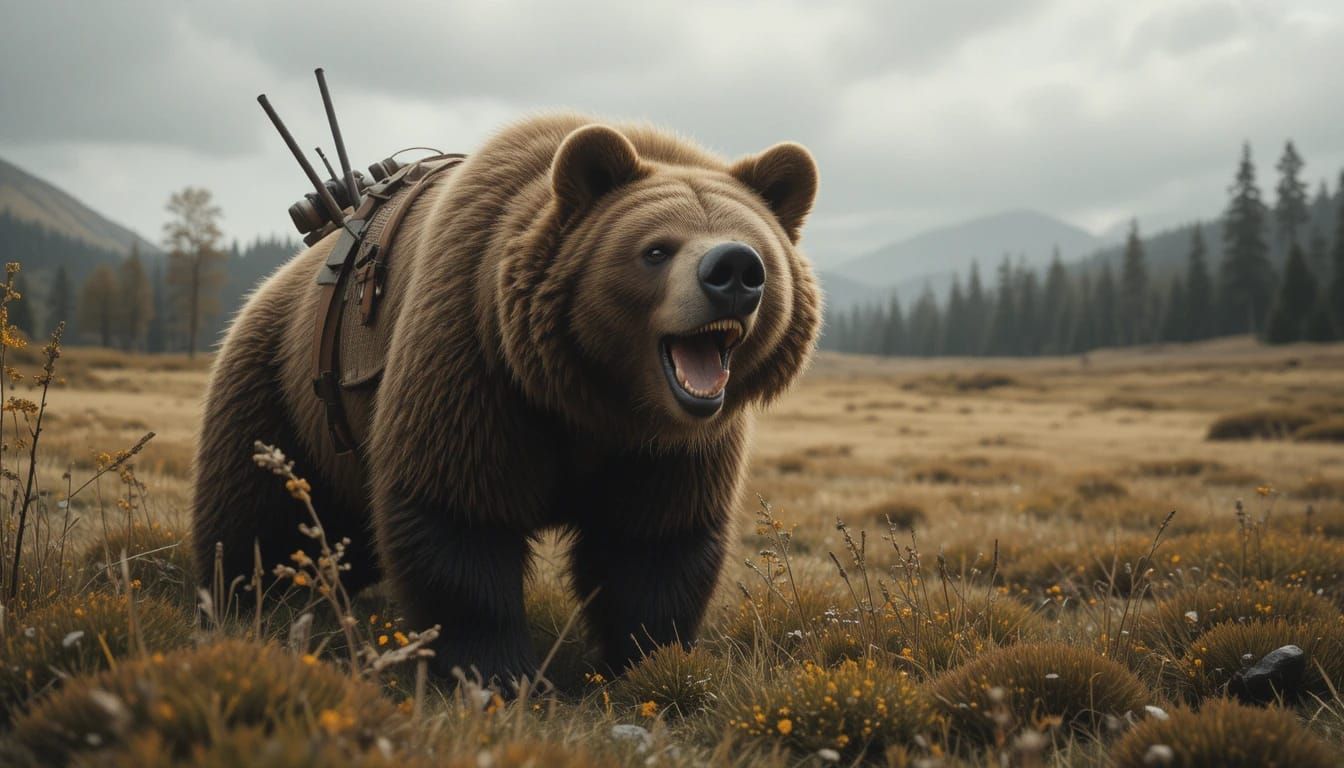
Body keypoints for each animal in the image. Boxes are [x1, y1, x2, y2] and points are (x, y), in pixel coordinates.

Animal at [191, 113, 822, 687]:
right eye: (656, 250)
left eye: (759, 250)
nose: (734, 271)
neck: (590, 397)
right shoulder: (473, 360)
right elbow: (459, 516)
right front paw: (500, 673)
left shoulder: (672, 448)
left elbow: (655, 544)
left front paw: (644, 661)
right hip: (278, 382)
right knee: (257, 507)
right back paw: (242, 594)